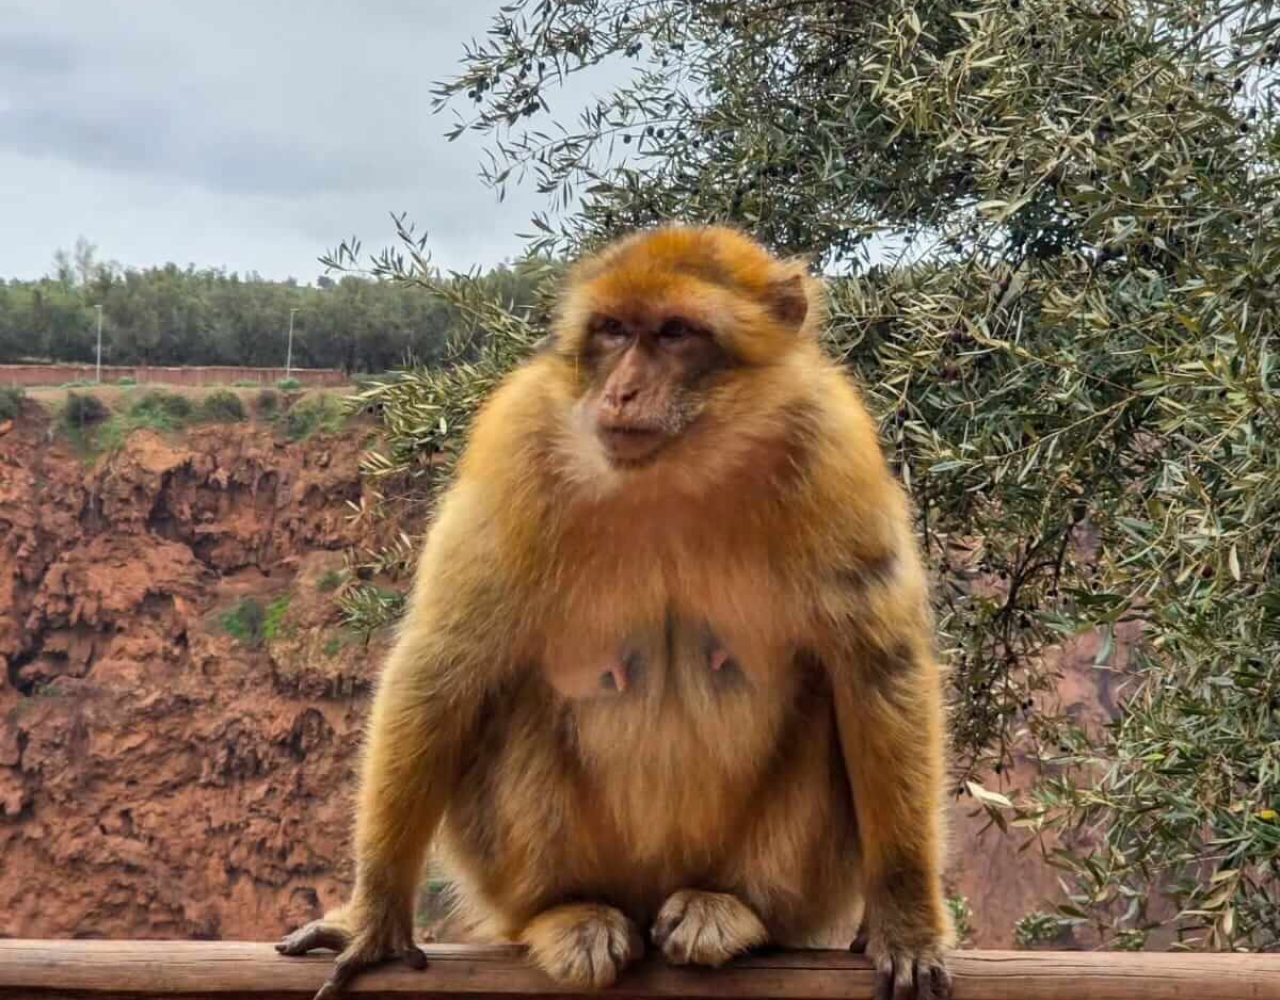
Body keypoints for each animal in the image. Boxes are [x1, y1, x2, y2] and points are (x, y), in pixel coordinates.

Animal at [277, 224, 954, 1000]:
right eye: (613, 330)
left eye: (676, 332)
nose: (622, 391)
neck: (682, 467)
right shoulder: (516, 441)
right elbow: (444, 666)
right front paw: (374, 917)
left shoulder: (836, 450)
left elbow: (877, 668)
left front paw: (905, 921)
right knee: (509, 703)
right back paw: (567, 915)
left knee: (824, 705)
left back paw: (732, 911)